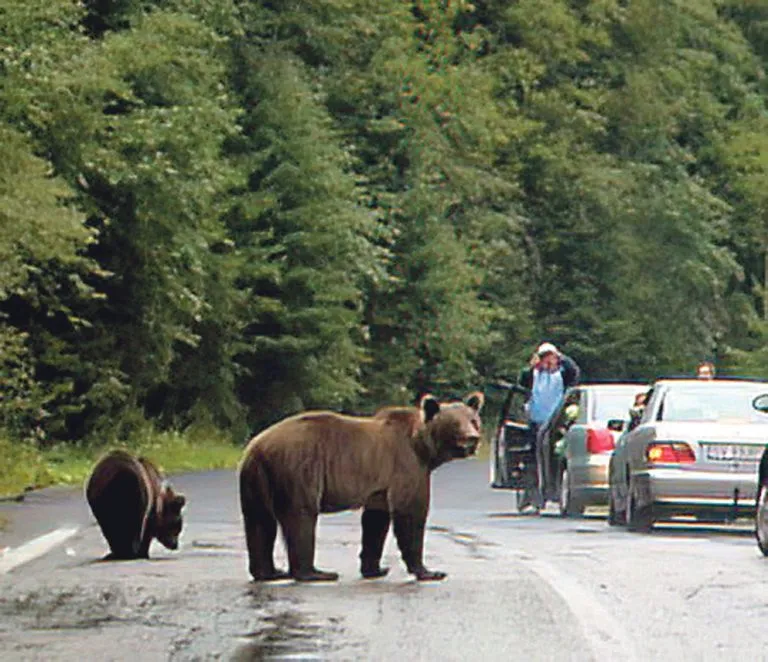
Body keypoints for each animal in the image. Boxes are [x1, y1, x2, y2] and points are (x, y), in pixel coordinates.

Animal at [238, 391, 484, 582]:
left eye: (473, 420)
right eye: (455, 423)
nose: (472, 438)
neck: (423, 449)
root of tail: (257, 447)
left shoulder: (380, 486)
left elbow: (375, 521)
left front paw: (376, 568)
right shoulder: (406, 468)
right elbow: (410, 514)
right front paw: (429, 571)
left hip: (256, 479)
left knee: (259, 521)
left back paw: (270, 572)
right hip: (297, 470)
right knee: (301, 516)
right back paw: (315, 573)